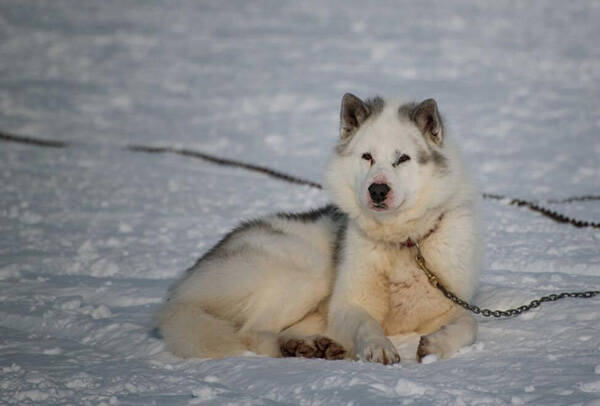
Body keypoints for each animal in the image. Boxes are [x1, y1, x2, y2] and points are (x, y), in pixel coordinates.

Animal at [156, 93, 482, 364]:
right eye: (367, 157)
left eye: (402, 158)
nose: (377, 190)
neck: (402, 243)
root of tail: (183, 291)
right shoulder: (347, 306)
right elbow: (367, 325)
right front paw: (378, 346)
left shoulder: (452, 304)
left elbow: (470, 324)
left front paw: (436, 345)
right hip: (307, 275)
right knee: (250, 331)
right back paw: (299, 347)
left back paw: (309, 345)